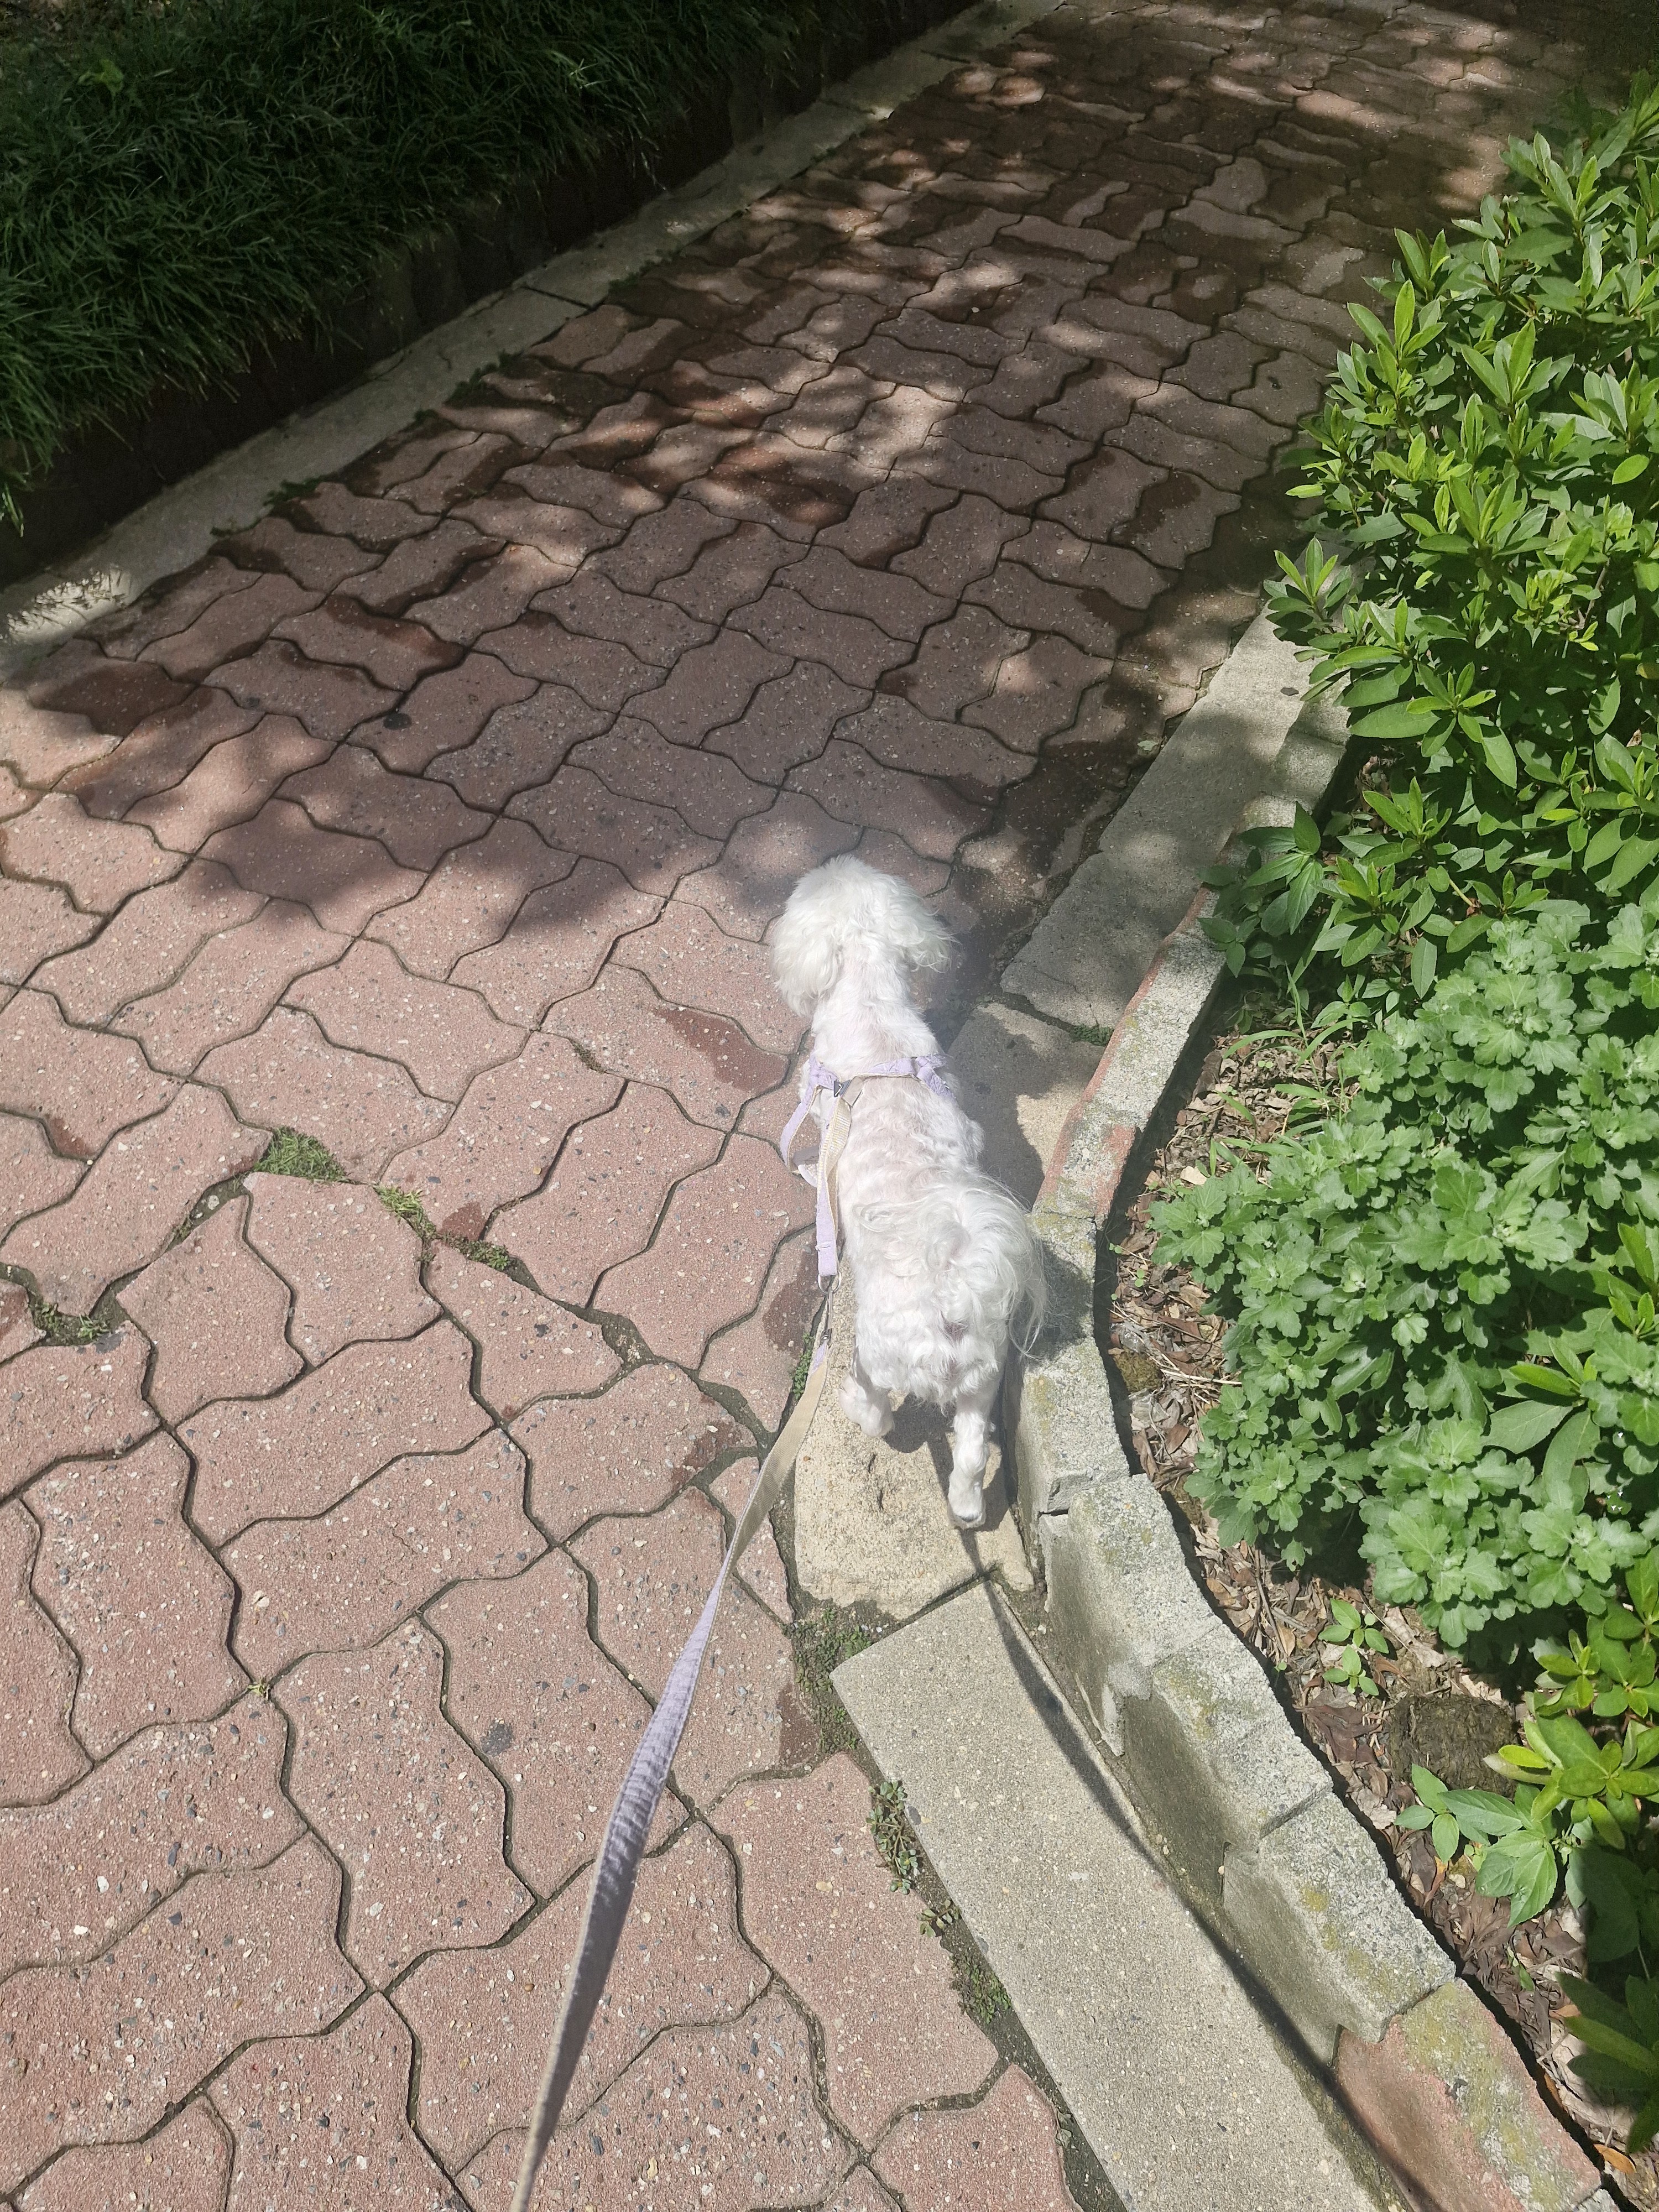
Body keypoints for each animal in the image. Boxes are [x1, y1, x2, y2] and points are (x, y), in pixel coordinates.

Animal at [769, 856, 1046, 1530]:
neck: (870, 1004)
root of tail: (950, 1305)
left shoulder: (820, 1106)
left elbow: (816, 1157)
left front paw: (810, 1174)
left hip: (874, 1353)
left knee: (876, 1409)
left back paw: (855, 1404)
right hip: (981, 1383)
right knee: (971, 1456)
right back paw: (967, 1504)